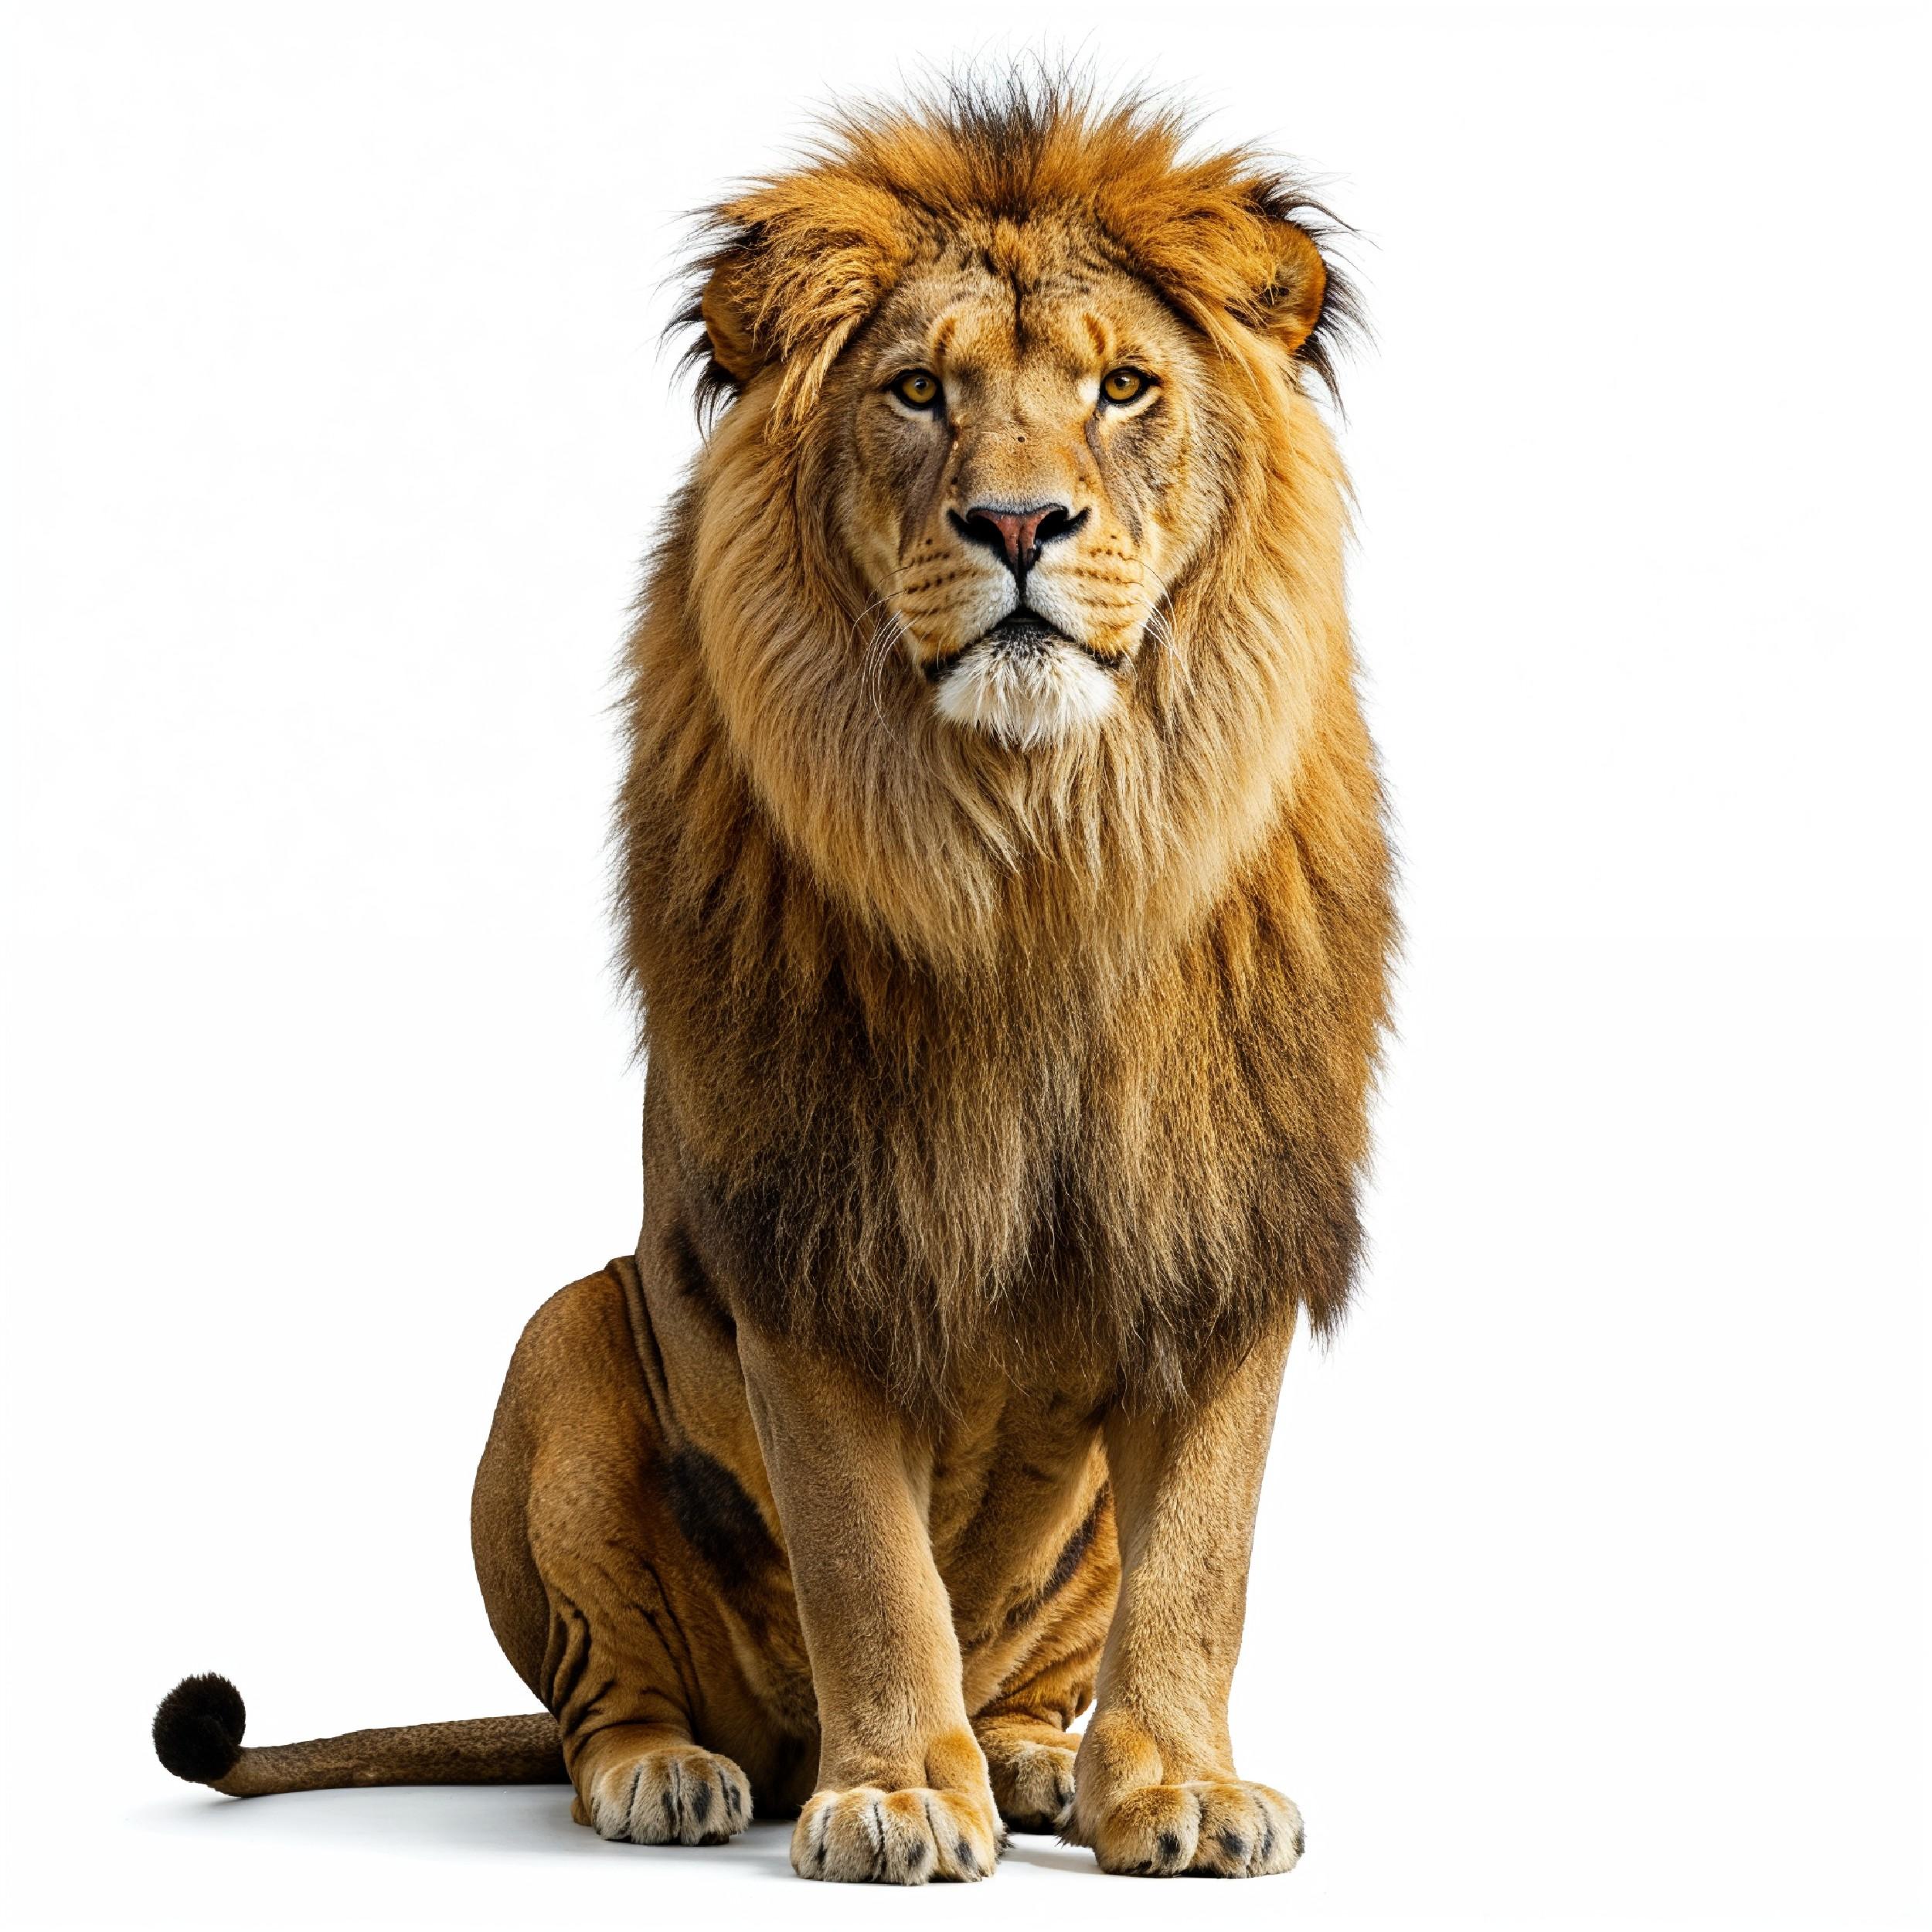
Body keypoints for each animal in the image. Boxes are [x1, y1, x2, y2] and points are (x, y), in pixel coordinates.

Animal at [152, 78, 1394, 1883]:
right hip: (566, 1337)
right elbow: (867, 1563)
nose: (1019, 524)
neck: (1043, 855)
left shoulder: (1219, 1226)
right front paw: (895, 1794)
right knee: (603, 1701)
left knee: (1041, 1657)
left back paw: (1033, 1760)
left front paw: (1175, 1784)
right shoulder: (812, 1229)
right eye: (918, 392)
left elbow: (1201, 1565)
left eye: (1122, 387)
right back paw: (679, 1773)